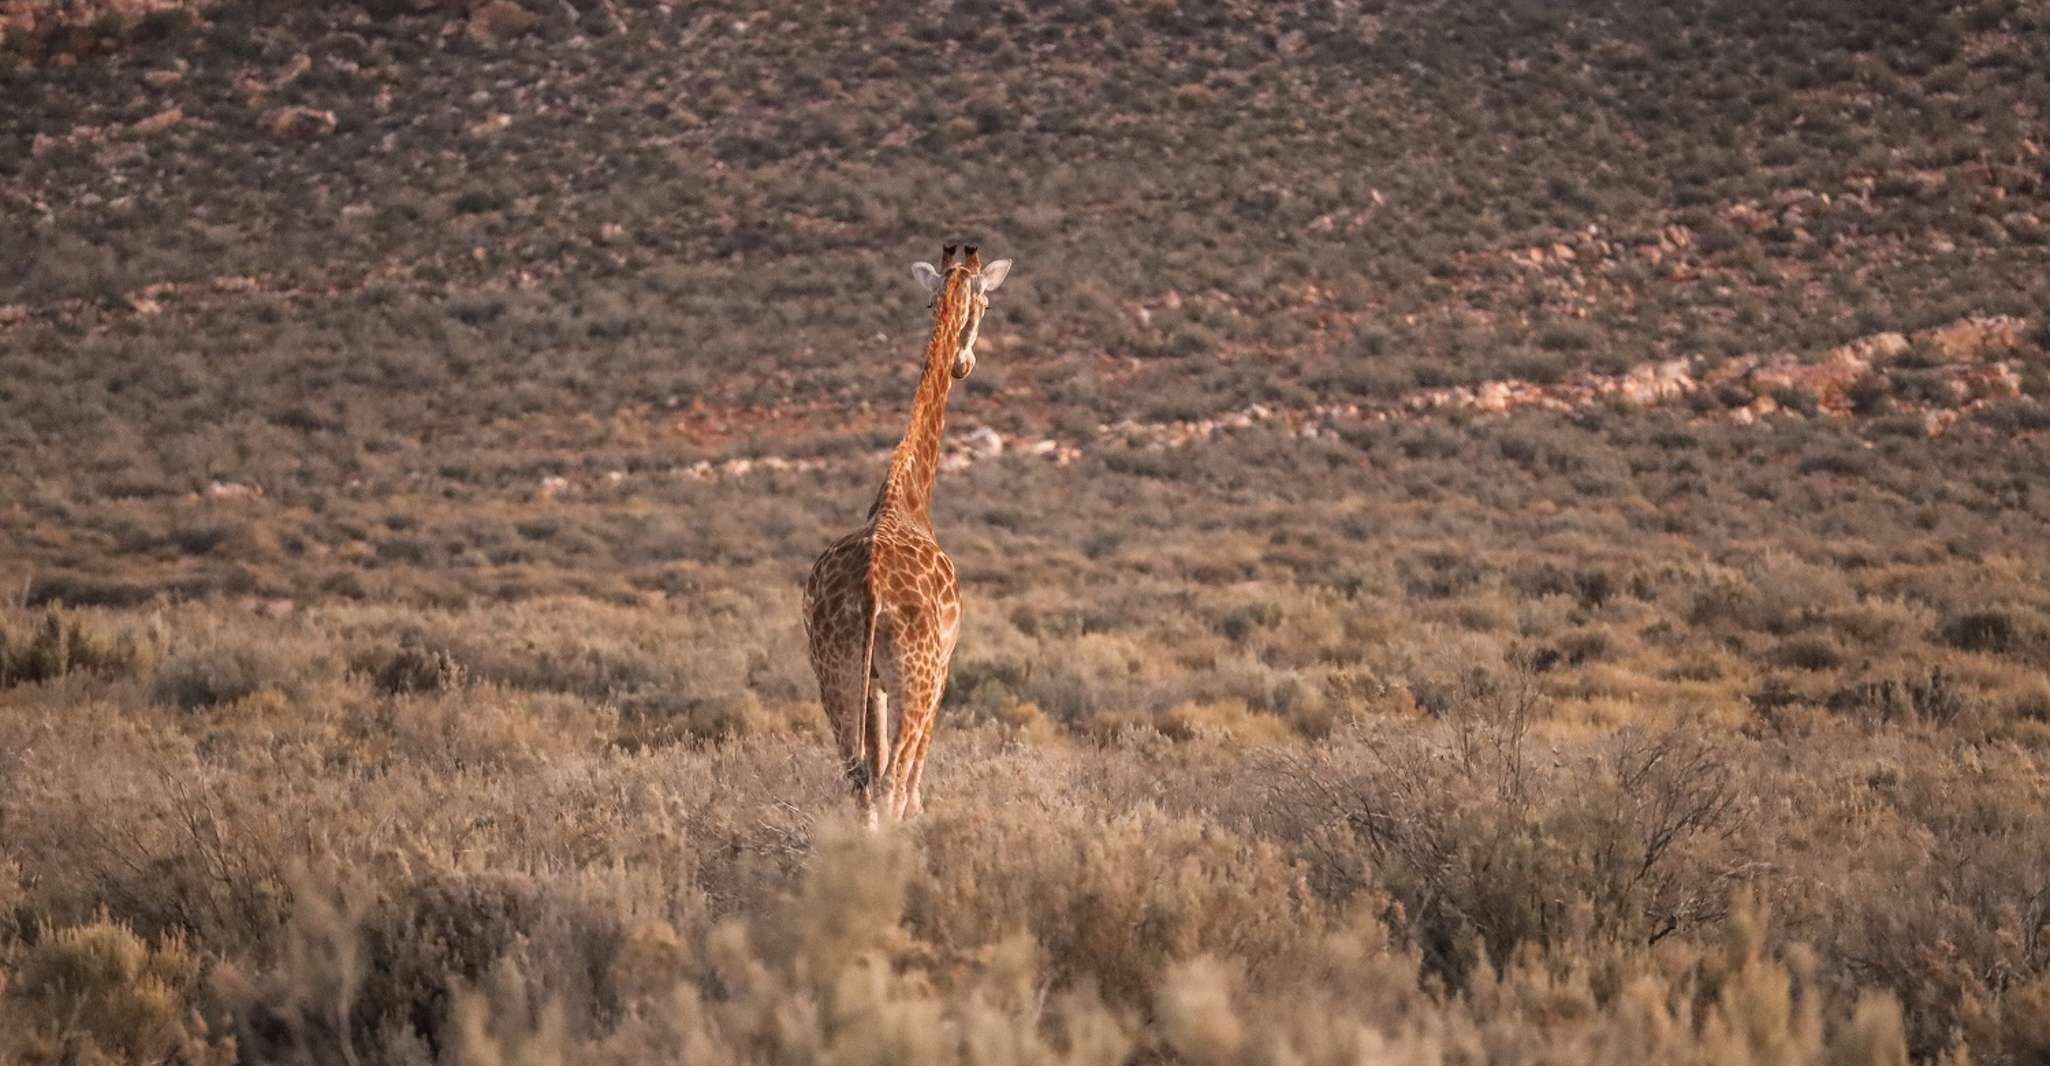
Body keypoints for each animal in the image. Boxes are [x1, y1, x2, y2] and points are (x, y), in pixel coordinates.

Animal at [807, 246, 1016, 828]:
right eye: (985, 305)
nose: (965, 364)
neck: (906, 497)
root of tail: (871, 593)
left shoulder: (874, 682)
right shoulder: (945, 664)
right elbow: (915, 774)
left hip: (834, 669)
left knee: (859, 777)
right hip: (915, 676)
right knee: (891, 781)